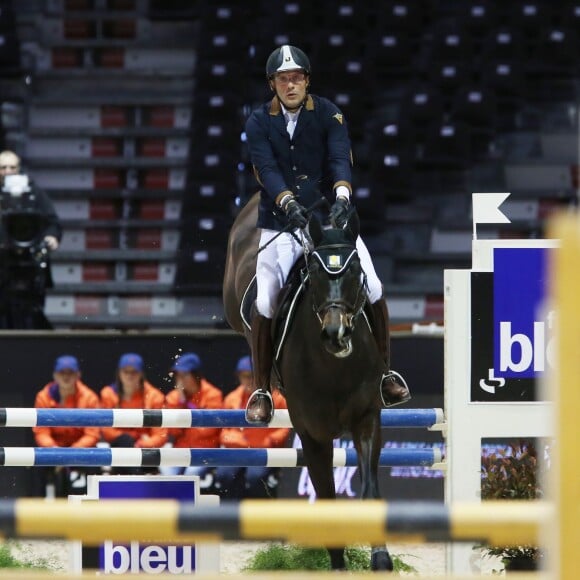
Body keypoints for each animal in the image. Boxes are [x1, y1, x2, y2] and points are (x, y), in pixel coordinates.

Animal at [224, 195, 392, 572]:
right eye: (314, 273)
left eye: (355, 270)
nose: (335, 333)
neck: (335, 367)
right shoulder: (312, 434)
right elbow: (326, 498)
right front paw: (338, 564)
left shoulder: (367, 419)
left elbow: (371, 490)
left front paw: (381, 558)